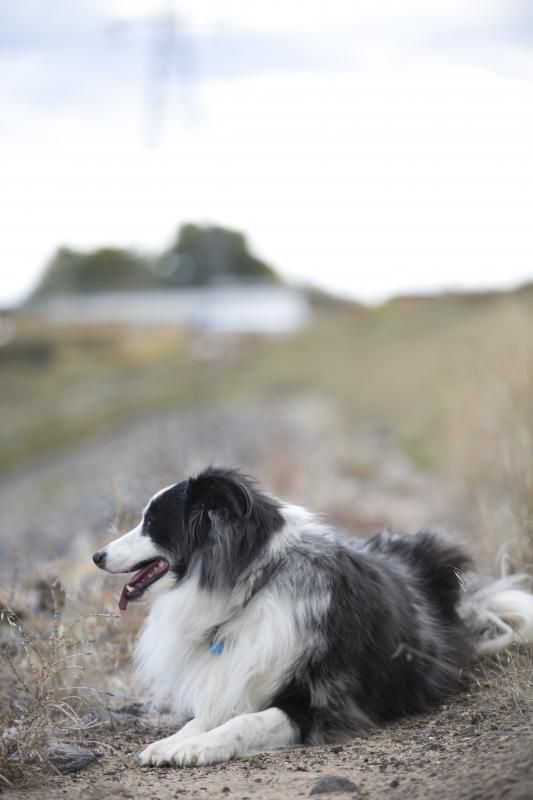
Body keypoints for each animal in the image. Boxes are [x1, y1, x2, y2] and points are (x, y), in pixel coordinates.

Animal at [93, 467, 533, 767]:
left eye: (151, 523)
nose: (97, 556)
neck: (256, 586)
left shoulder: (321, 703)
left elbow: (244, 723)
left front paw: (197, 747)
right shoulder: (237, 680)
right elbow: (206, 717)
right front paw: (174, 741)